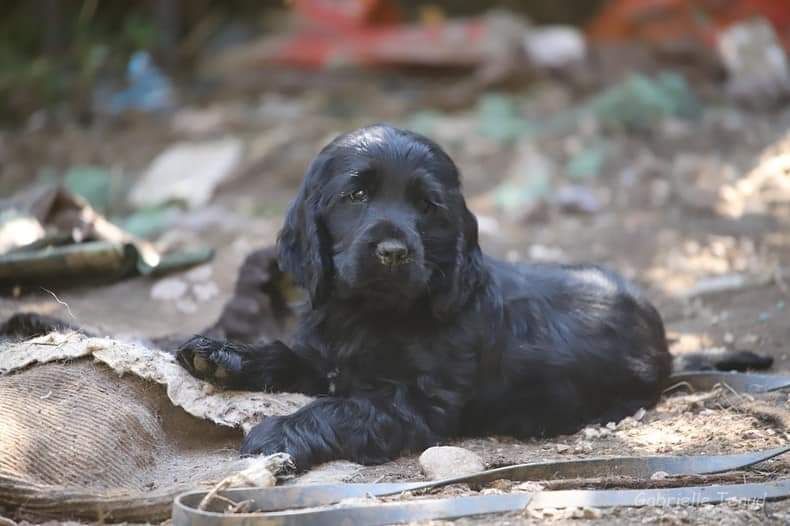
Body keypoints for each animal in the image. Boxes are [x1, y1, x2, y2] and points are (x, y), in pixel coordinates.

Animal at [173, 125, 692, 470]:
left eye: (427, 205)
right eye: (356, 195)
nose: (393, 251)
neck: (372, 314)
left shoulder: (418, 403)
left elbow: (344, 408)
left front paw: (278, 432)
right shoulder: (327, 359)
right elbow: (286, 354)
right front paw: (218, 355)